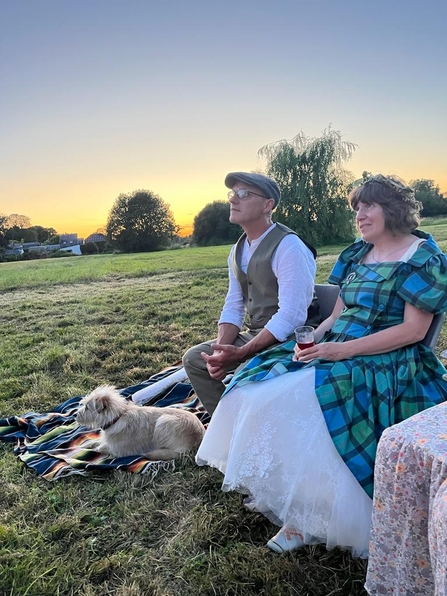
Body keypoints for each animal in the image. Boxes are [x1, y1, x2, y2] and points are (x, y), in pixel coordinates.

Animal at [76, 386, 206, 460]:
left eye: (87, 407)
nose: (75, 415)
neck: (117, 417)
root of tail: (200, 438)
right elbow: (93, 442)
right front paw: (81, 446)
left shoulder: (118, 450)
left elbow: (99, 448)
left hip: (163, 422)